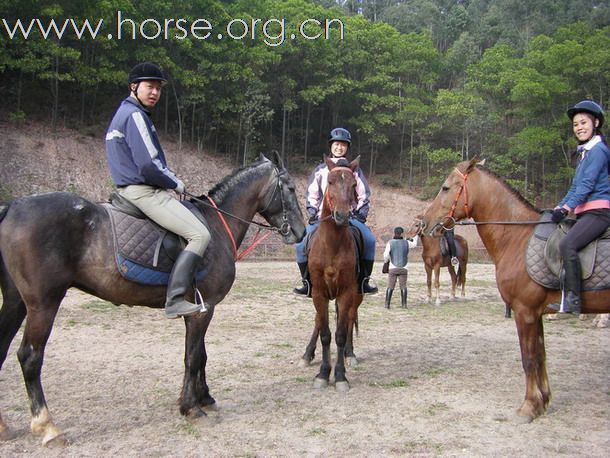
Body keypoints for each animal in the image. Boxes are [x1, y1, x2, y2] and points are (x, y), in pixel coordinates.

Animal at [0, 152, 304, 446]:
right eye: (290, 187)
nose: (301, 231)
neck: (217, 225)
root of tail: (13, 206)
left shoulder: (199, 307)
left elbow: (200, 354)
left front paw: (204, 398)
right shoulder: (204, 309)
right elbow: (193, 356)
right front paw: (191, 408)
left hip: (16, 302)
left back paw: (5, 427)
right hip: (43, 304)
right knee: (30, 356)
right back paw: (48, 427)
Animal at [418, 157, 608, 422]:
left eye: (446, 188)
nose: (426, 222)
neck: (518, 237)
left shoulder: (524, 311)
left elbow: (528, 359)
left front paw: (529, 406)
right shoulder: (535, 313)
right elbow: (540, 356)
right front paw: (543, 401)